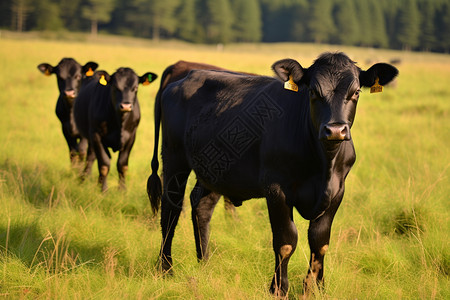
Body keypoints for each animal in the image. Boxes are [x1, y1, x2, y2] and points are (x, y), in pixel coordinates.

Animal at [148, 52, 398, 296]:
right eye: (313, 91)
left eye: (356, 92)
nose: (335, 130)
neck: (323, 164)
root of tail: (187, 75)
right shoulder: (277, 189)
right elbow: (286, 241)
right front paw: (279, 288)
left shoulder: (337, 191)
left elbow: (320, 241)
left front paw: (316, 288)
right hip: (174, 158)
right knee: (171, 209)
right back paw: (166, 268)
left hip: (215, 169)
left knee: (201, 206)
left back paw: (205, 262)